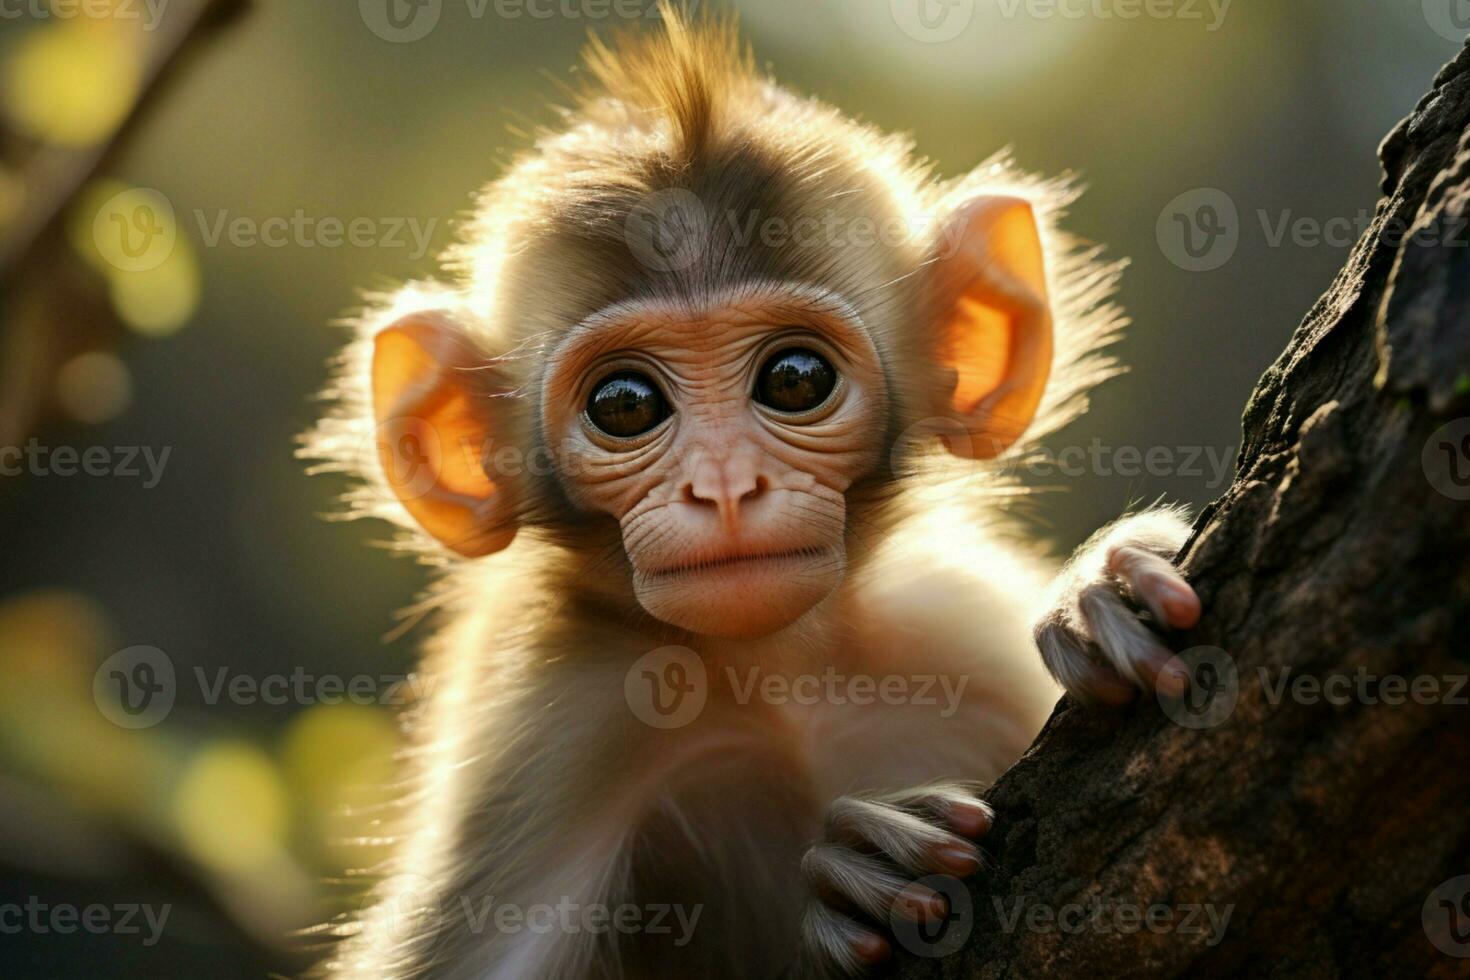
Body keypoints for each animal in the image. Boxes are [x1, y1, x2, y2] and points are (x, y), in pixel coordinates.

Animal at [304, 9, 1199, 980]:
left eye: (796, 379)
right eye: (624, 405)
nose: (727, 486)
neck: (779, 679)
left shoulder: (949, 620)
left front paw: (1095, 594)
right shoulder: (551, 728)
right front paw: (847, 882)